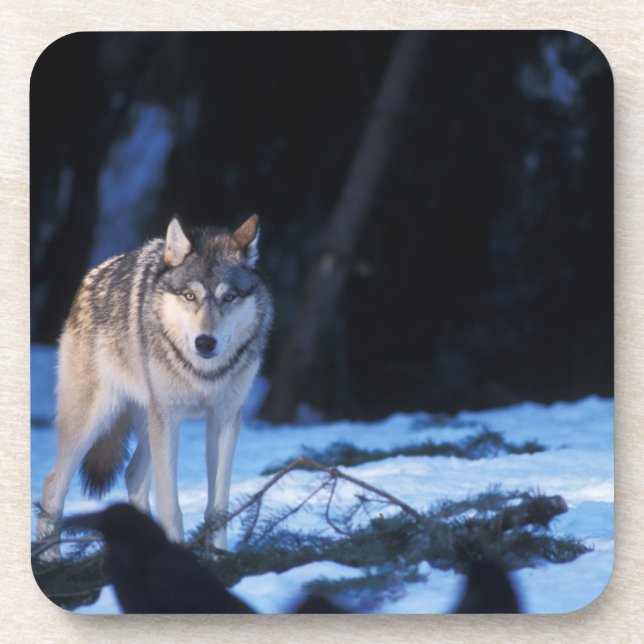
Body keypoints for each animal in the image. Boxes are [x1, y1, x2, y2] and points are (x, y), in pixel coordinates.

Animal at [37, 214, 273, 555]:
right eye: (190, 296)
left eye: (228, 298)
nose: (205, 342)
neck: (202, 373)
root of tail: (92, 276)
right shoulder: (169, 418)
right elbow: (170, 504)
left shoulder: (225, 419)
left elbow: (218, 506)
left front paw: (219, 557)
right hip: (96, 420)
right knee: (53, 483)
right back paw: (51, 558)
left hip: (148, 424)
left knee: (133, 475)